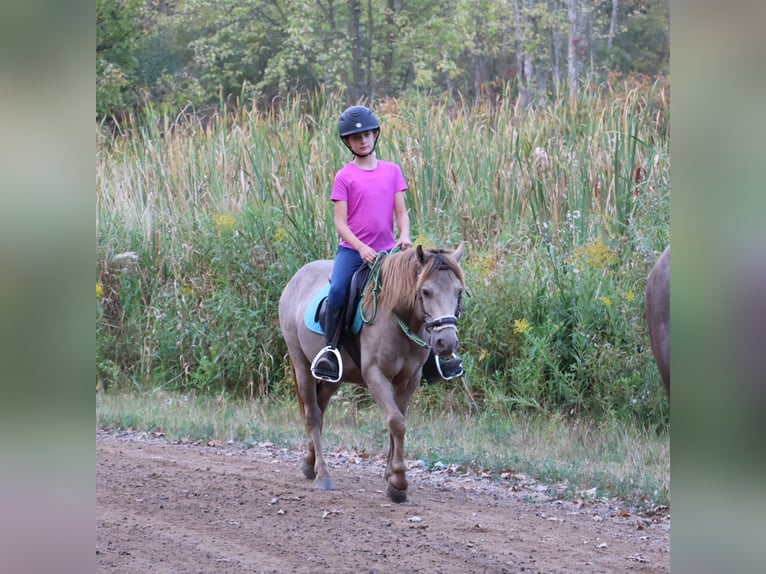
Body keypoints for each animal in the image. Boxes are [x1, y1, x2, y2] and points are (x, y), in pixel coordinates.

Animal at [278, 243, 466, 503]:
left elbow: (399, 421)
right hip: (301, 364)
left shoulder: (409, 380)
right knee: (313, 416)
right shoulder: (375, 375)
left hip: (332, 379)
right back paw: (323, 475)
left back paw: (309, 463)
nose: (445, 343)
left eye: (458, 292)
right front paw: (398, 482)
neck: (397, 315)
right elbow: (396, 422)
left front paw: (391, 475)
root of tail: (297, 277)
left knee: (320, 409)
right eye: (426, 291)